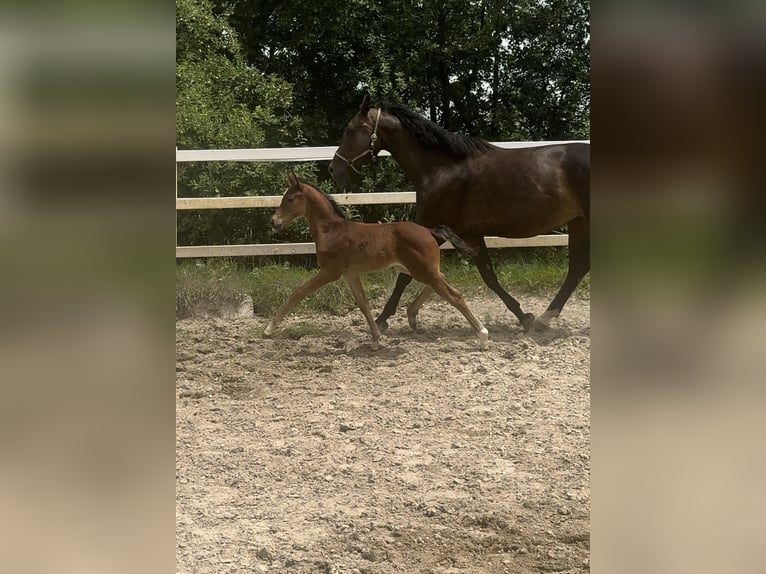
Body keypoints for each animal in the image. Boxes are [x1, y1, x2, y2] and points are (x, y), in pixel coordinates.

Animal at [264, 173, 492, 352]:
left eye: (290, 198)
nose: (274, 222)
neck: (331, 230)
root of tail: (429, 231)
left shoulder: (330, 271)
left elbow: (299, 292)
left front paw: (268, 329)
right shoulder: (350, 273)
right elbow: (363, 303)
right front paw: (376, 340)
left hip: (423, 270)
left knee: (454, 295)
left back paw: (482, 336)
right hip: (422, 269)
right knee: (441, 286)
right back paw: (412, 316)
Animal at [332, 93, 592, 330]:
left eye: (350, 130)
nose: (334, 169)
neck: (442, 169)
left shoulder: (446, 229)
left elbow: (407, 277)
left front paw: (382, 320)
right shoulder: (462, 233)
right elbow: (487, 276)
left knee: (579, 267)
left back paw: (544, 318)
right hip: (578, 222)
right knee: (578, 268)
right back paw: (545, 317)